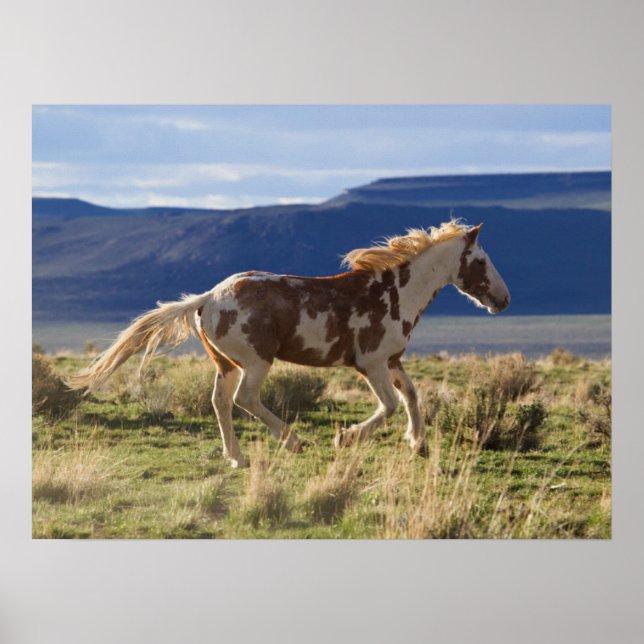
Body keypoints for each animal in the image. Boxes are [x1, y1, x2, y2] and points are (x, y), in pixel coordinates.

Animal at [69, 220, 510, 468]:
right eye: (482, 261)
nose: (504, 300)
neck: (395, 293)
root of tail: (207, 298)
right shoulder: (370, 363)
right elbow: (387, 406)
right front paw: (346, 437)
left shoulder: (392, 361)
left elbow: (413, 397)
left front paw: (416, 443)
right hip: (256, 361)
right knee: (245, 399)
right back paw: (293, 440)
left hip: (226, 364)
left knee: (220, 402)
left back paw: (237, 457)